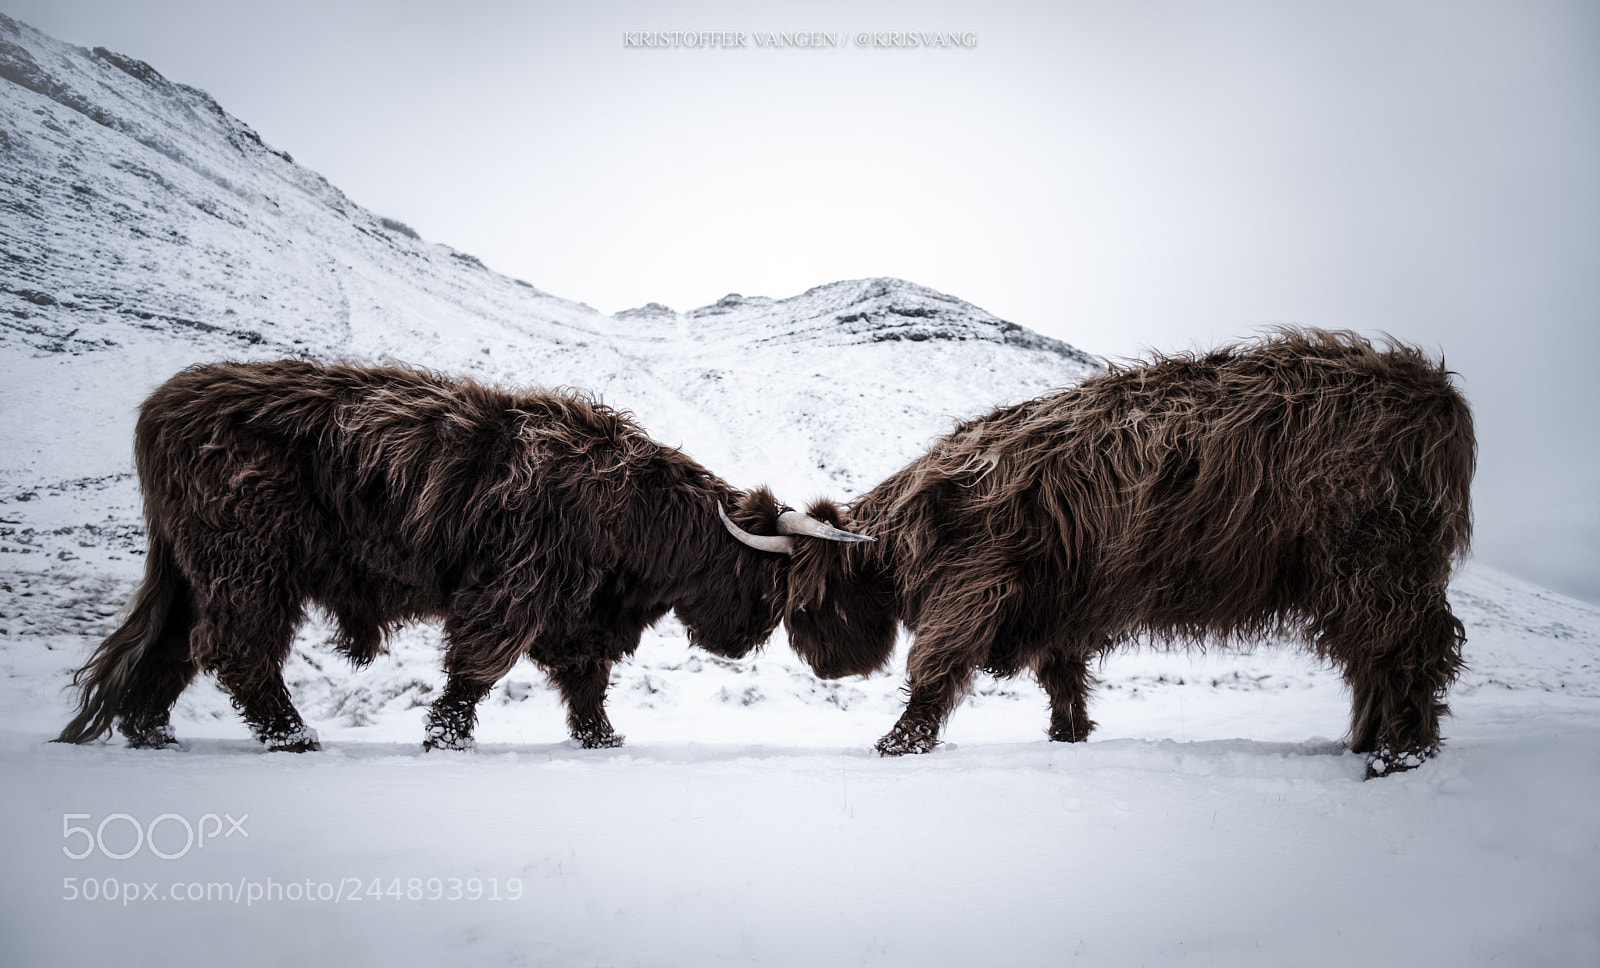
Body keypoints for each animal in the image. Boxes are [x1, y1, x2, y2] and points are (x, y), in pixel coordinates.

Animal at [56, 359, 868, 752]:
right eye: (767, 589)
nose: (744, 643)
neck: (631, 516)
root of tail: (161, 409)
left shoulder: (575, 614)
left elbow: (586, 682)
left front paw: (602, 739)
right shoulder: (516, 589)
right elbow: (479, 668)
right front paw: (446, 738)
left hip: (193, 569)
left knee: (168, 647)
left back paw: (152, 732)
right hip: (249, 561)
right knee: (237, 648)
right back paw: (294, 738)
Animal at [721, 330, 1476, 776]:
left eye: (807, 603)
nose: (823, 668)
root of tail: (1435, 395)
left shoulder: (974, 584)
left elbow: (935, 666)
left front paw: (898, 742)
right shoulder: (1051, 603)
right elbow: (1062, 675)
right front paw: (1068, 736)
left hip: (1380, 562)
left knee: (1410, 650)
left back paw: (1398, 756)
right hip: (1367, 575)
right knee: (1374, 659)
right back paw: (1368, 742)